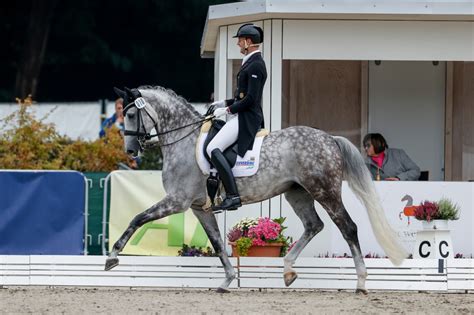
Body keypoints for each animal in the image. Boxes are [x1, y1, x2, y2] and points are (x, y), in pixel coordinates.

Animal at [106, 86, 408, 294]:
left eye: (130, 114)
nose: (130, 151)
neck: (182, 141)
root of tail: (329, 139)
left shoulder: (177, 201)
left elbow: (137, 218)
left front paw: (112, 257)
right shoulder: (198, 208)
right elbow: (217, 243)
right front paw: (227, 280)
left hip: (325, 191)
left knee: (348, 227)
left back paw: (361, 282)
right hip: (297, 193)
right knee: (314, 225)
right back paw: (288, 271)